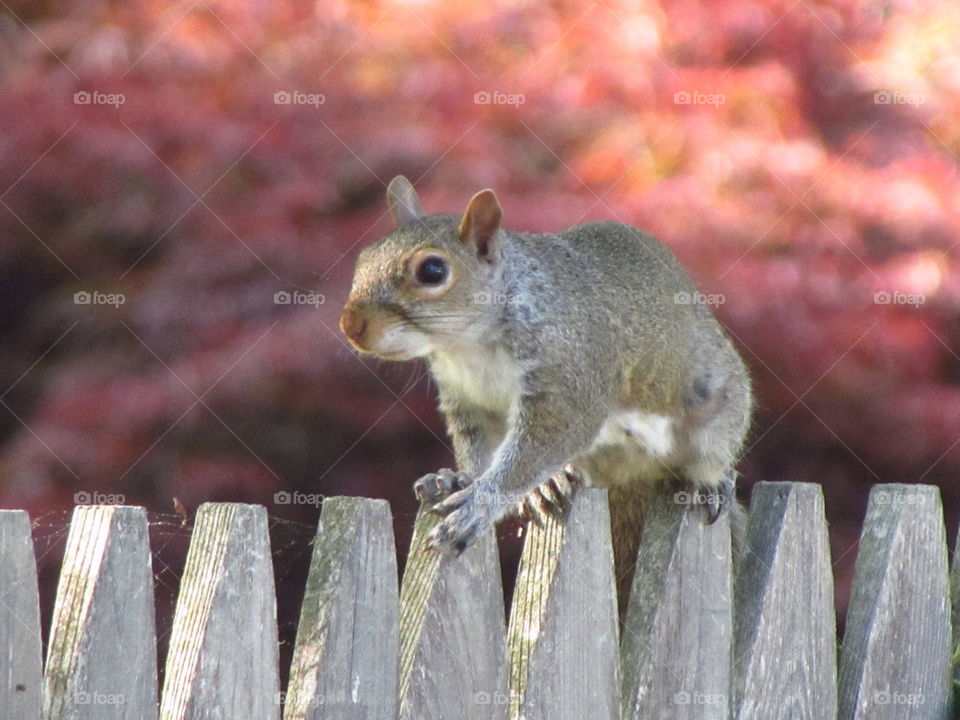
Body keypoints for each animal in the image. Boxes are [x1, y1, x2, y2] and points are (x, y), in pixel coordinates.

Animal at [342, 176, 752, 608]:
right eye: (362, 260)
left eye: (433, 270)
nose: (350, 325)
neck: (468, 346)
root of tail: (632, 473)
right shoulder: (468, 401)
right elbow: (477, 447)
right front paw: (456, 479)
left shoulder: (567, 377)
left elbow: (541, 445)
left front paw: (477, 505)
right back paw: (552, 482)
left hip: (714, 417)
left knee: (706, 457)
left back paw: (712, 484)